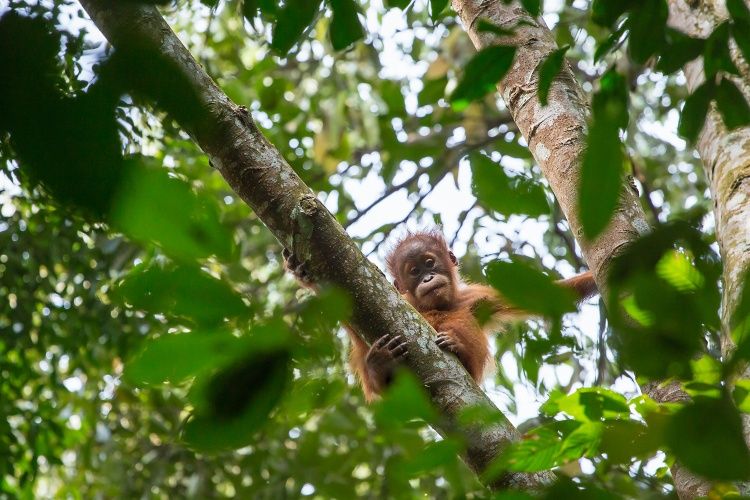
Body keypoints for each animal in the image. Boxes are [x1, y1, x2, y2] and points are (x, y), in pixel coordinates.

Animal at [284, 230, 598, 402]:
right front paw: (302, 273)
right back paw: (379, 366)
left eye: (429, 263)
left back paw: (456, 348)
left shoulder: (481, 298)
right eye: (414, 272)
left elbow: (551, 296)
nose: (427, 278)